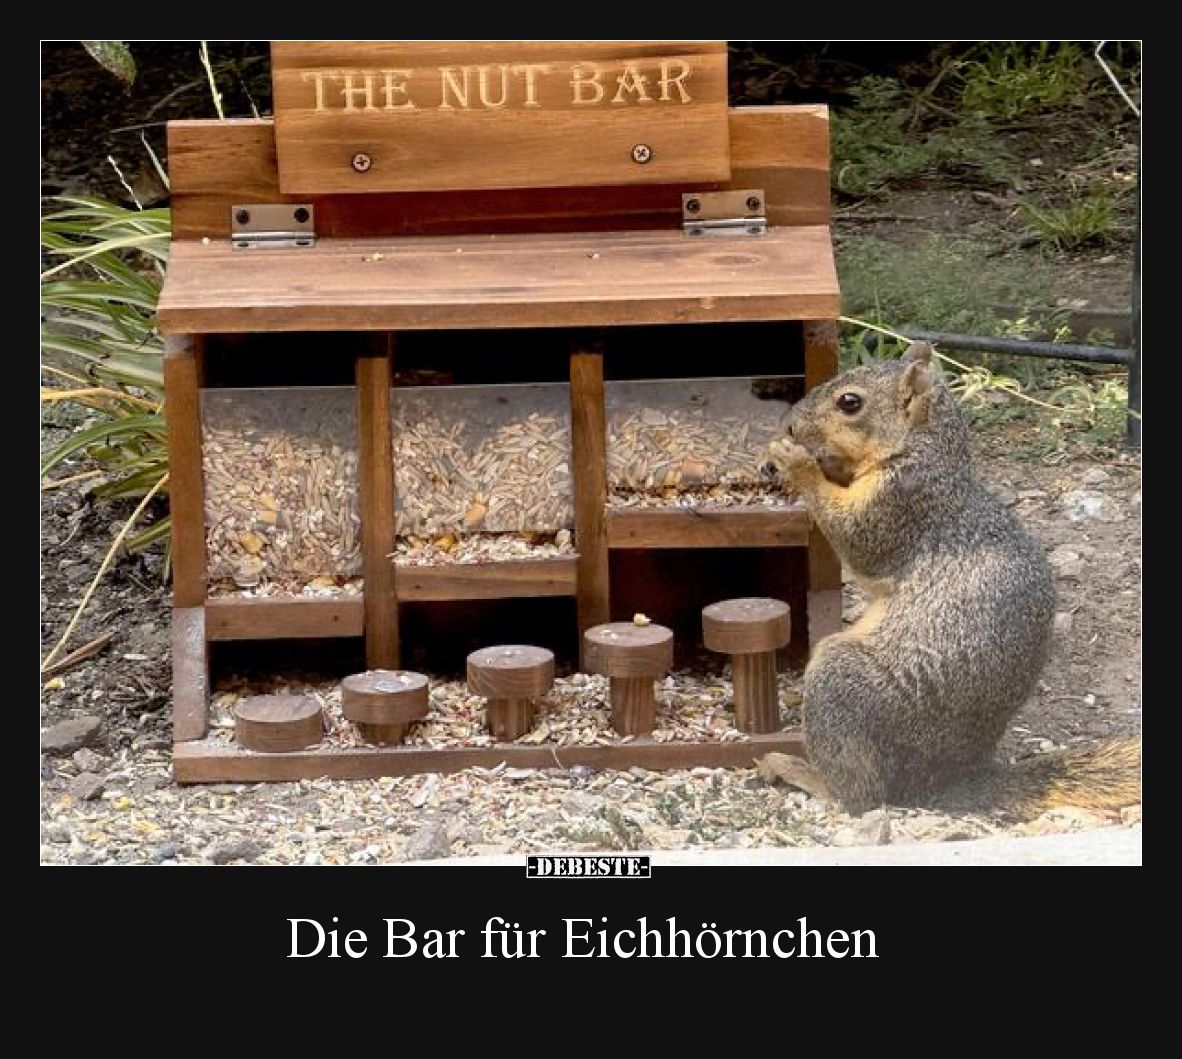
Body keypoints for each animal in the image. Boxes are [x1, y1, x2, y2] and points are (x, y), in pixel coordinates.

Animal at [762, 343, 1140, 817]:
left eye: (850, 402)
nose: (790, 425)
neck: (923, 452)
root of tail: (947, 781)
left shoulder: (900, 506)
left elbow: (857, 540)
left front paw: (796, 462)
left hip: (846, 686)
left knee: (864, 797)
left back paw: (802, 773)